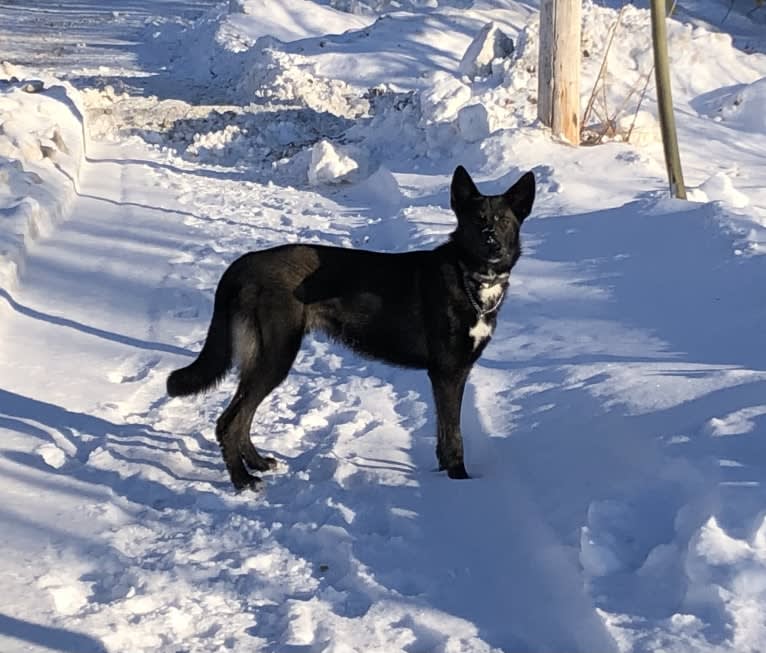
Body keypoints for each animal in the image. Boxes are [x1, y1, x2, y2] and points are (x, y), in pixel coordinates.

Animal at [169, 166, 536, 486]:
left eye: (504, 221)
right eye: (477, 221)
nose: (492, 244)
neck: (470, 278)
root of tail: (241, 265)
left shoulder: (451, 374)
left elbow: (444, 435)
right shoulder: (447, 372)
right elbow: (453, 435)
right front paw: (459, 482)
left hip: (259, 357)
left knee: (236, 418)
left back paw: (257, 463)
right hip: (276, 355)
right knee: (230, 422)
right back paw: (242, 481)